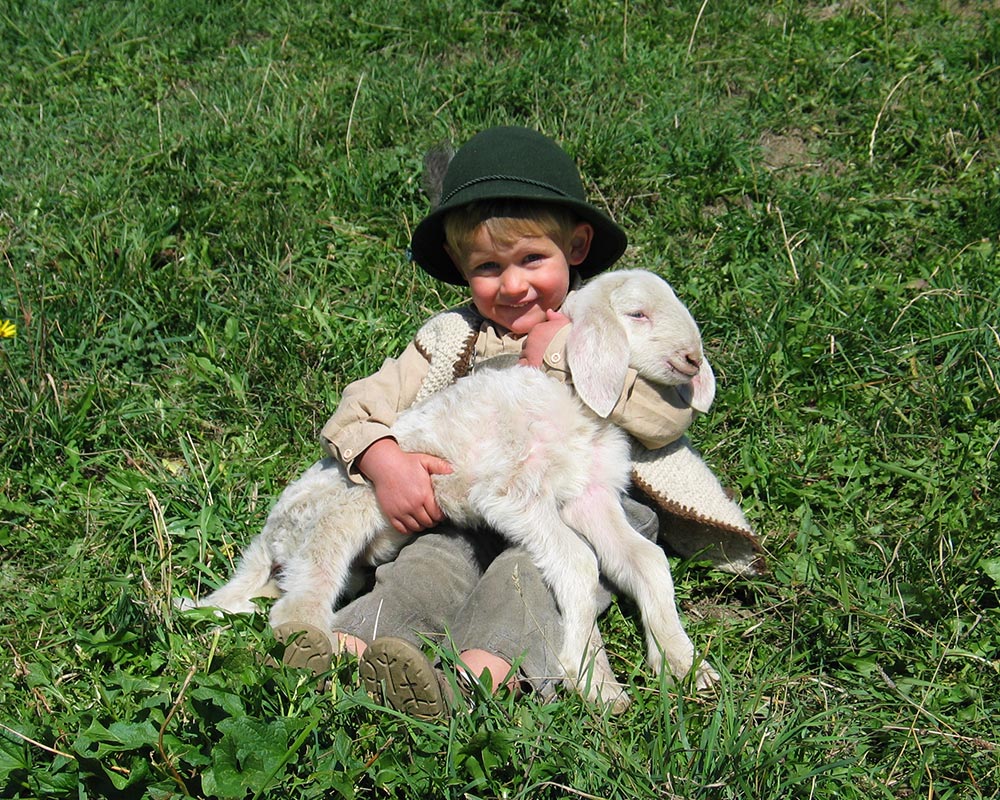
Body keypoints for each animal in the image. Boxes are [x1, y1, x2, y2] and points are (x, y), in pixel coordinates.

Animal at [195, 272, 724, 708]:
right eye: (637, 313)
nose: (693, 358)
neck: (574, 404)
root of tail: (271, 537)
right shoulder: (512, 491)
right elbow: (579, 560)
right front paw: (584, 672)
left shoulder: (589, 496)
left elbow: (644, 561)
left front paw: (680, 663)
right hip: (334, 525)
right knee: (293, 609)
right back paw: (322, 657)